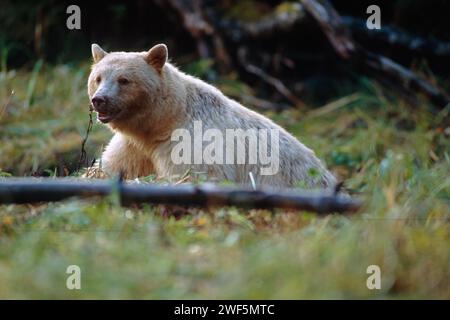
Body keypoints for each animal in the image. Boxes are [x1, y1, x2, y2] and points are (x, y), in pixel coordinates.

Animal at [87, 42, 338, 188]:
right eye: (98, 78)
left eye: (124, 80)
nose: (99, 100)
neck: (164, 122)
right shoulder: (135, 145)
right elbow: (109, 167)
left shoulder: (192, 142)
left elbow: (199, 175)